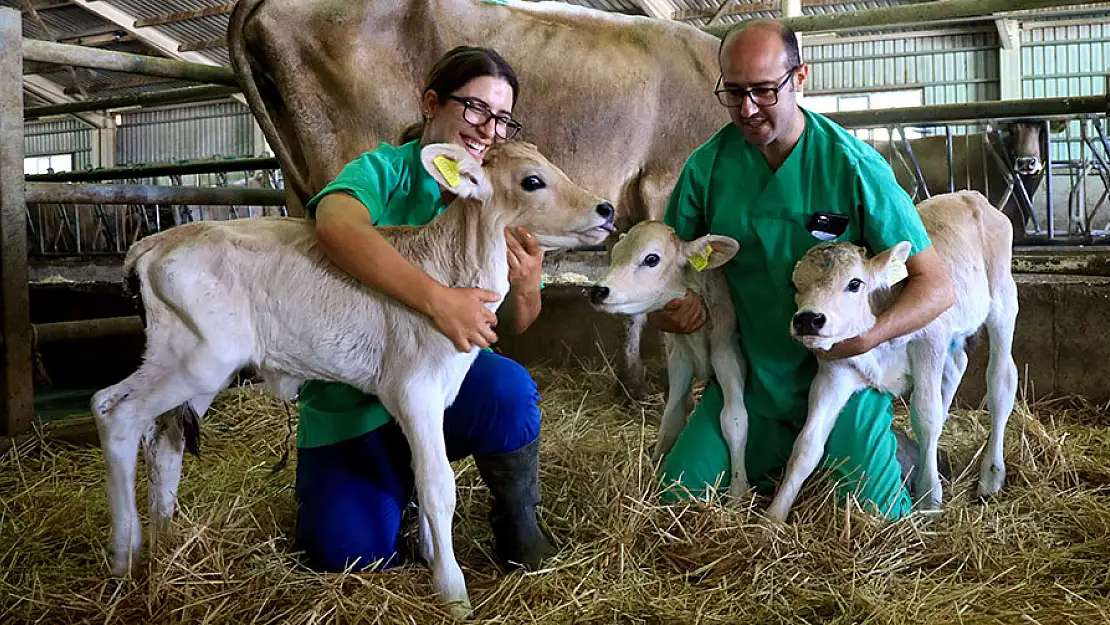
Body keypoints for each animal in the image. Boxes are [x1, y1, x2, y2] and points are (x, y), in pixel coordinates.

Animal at [586, 219, 750, 499]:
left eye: (651, 258)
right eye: (616, 253)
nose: (598, 291)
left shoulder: (728, 353)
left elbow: (735, 418)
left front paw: (738, 494)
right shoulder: (680, 359)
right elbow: (672, 414)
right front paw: (655, 465)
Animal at [768, 189, 1016, 523]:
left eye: (855, 283)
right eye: (795, 284)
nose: (808, 319)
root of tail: (969, 195)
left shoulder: (931, 341)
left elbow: (926, 416)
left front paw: (930, 496)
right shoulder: (834, 371)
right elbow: (807, 443)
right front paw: (773, 517)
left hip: (1003, 299)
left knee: (1001, 382)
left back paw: (991, 476)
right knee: (956, 368)